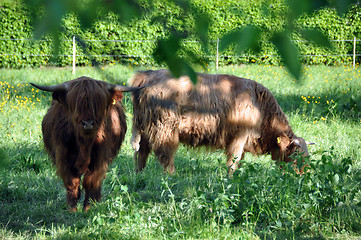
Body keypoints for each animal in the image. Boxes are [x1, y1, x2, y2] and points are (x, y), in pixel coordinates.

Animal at [31, 76, 141, 211]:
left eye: (99, 104)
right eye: (76, 104)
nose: (88, 123)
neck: (84, 144)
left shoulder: (100, 159)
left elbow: (91, 182)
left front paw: (88, 208)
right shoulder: (63, 157)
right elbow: (72, 182)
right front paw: (72, 209)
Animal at [130, 69, 312, 174]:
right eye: (296, 156)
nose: (303, 176)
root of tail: (148, 74)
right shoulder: (239, 135)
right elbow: (234, 160)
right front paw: (230, 179)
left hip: (145, 126)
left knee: (142, 152)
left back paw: (139, 175)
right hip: (165, 128)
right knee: (165, 154)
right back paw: (172, 176)